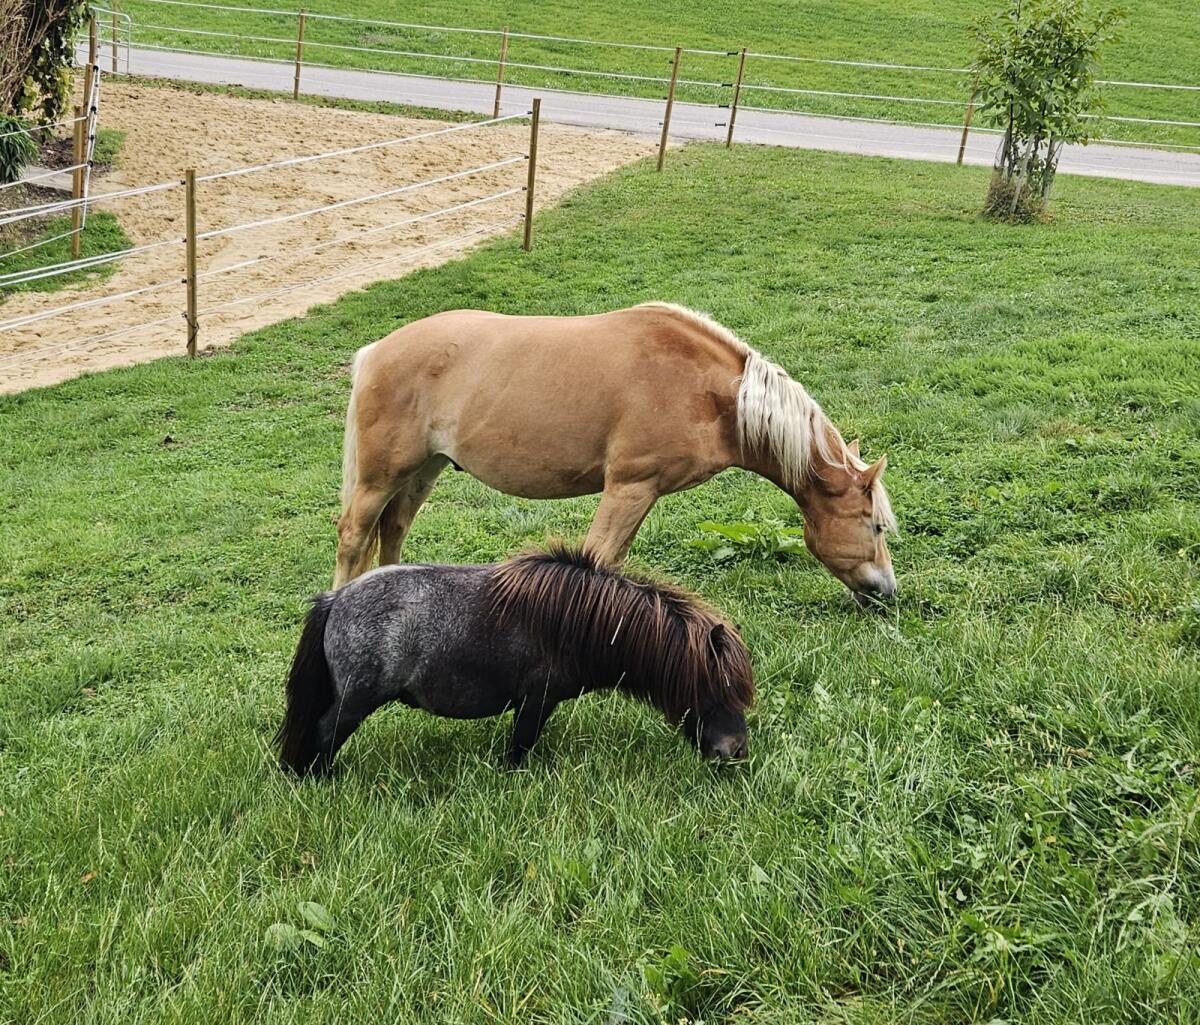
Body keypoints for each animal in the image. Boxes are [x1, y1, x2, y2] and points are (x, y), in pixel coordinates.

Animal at [275, 545, 755, 773]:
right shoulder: (536, 701)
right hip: (354, 703)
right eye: (716, 688)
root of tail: (336, 599)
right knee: (324, 734)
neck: (572, 622)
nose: (734, 752)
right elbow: (519, 747)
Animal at [334, 303, 897, 600]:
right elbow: (597, 560)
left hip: (422, 472)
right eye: (874, 526)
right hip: (380, 477)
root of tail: (376, 351)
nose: (886, 590)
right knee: (353, 536)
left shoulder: (642, 494)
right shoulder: (629, 487)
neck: (704, 391)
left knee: (393, 530)